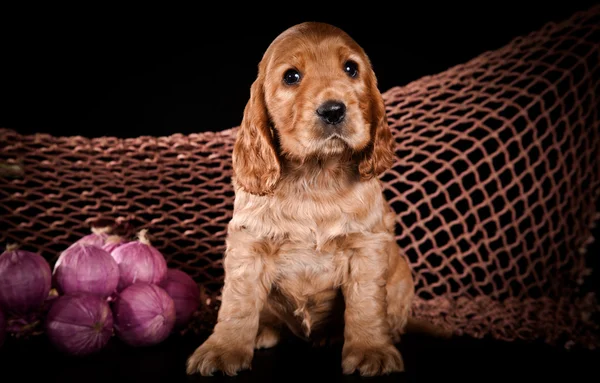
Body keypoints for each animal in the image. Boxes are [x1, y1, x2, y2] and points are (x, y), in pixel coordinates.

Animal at [189, 21, 422, 378]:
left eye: (351, 69)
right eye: (291, 76)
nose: (333, 110)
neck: (316, 176)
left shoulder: (366, 246)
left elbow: (366, 304)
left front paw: (371, 350)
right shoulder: (248, 246)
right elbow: (237, 303)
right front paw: (223, 349)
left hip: (402, 280)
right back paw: (266, 331)